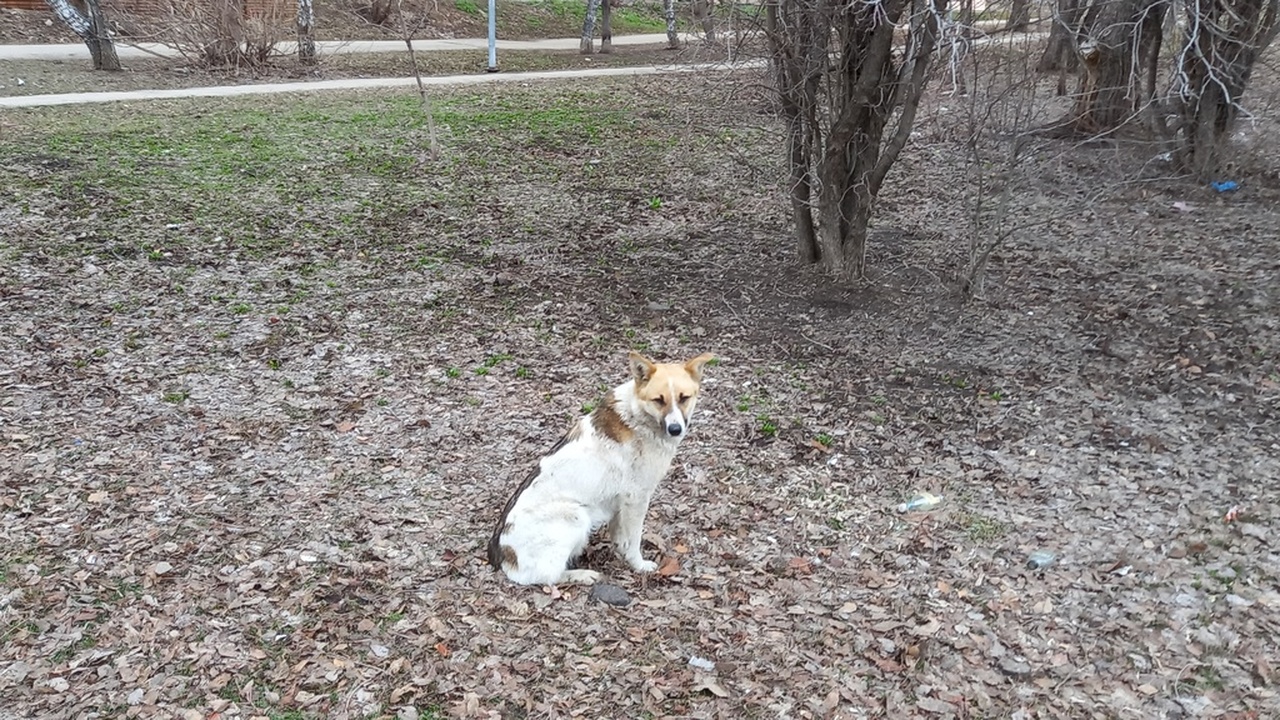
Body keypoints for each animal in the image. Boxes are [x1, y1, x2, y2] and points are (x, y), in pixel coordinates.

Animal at [483, 348, 716, 584]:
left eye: (684, 398)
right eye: (659, 400)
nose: (675, 429)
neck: (639, 416)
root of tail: (502, 558)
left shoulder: (620, 502)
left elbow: (620, 536)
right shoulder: (636, 498)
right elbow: (634, 540)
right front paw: (638, 565)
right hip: (575, 515)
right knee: (546, 577)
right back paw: (582, 574)